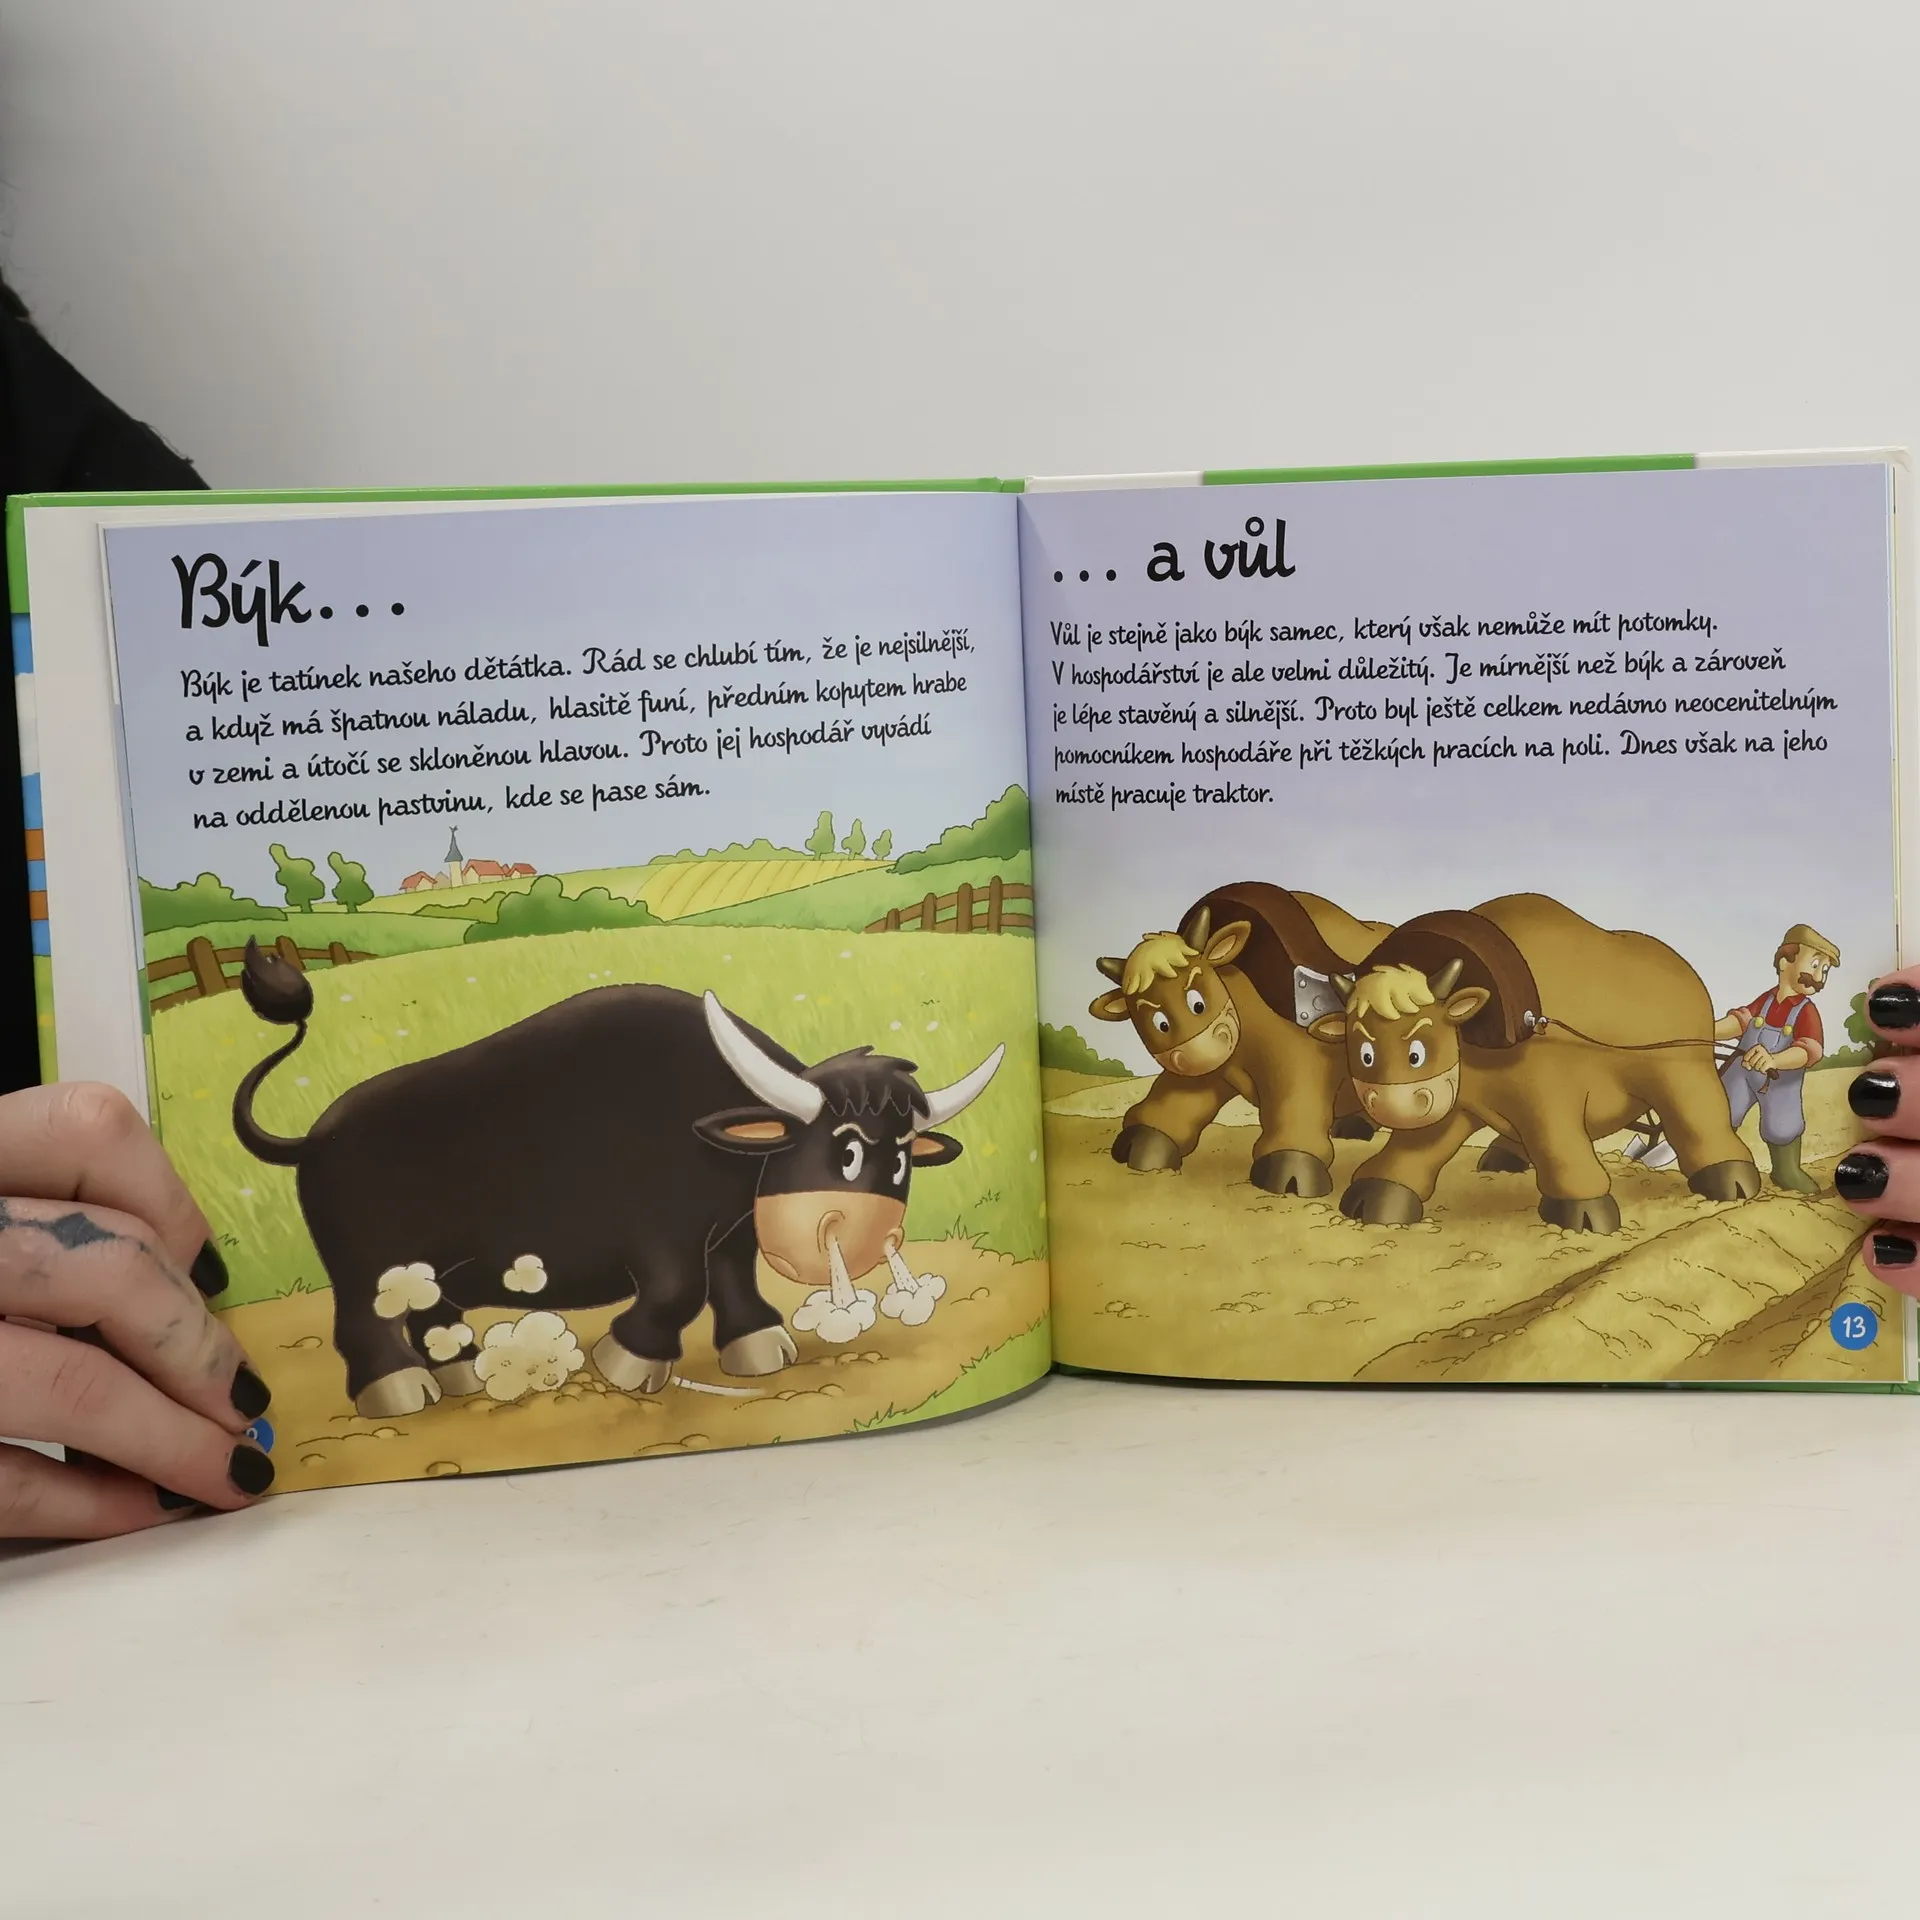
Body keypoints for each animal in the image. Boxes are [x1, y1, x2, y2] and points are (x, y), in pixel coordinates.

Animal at [231, 940, 1003, 1418]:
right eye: (842, 1153)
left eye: (900, 1159)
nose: (871, 1235)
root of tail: (314, 1140)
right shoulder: (666, 1240)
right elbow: (679, 1290)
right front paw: (626, 1361)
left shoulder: (726, 1234)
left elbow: (734, 1283)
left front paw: (758, 1348)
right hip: (368, 1276)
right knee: (362, 1327)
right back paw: (399, 1390)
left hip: (426, 1274)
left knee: (432, 1316)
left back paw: (463, 1370)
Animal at [1088, 882, 1388, 1196]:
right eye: (1159, 1023)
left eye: (1197, 1003)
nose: (1193, 1055)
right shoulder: (1205, 1073)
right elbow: (1175, 1101)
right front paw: (1142, 1144)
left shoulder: (1300, 1066)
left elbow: (1294, 1108)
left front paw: (1291, 1172)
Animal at [1307, 893, 1762, 1233]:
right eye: (1363, 1052)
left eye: (1417, 1051)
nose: (1388, 1102)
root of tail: (1686, 972)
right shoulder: (1456, 1100)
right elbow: (1414, 1151)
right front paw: (1376, 1195)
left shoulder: (1549, 1100)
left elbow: (1559, 1148)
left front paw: (1583, 1209)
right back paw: (1505, 1156)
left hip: (1683, 1073)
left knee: (1699, 1121)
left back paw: (1731, 1179)